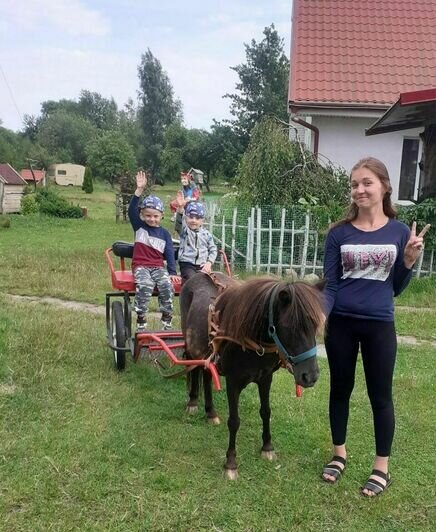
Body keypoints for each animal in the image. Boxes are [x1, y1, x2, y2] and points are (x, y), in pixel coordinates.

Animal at [179, 274, 326, 478]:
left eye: (315, 325)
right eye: (289, 326)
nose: (310, 376)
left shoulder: (265, 379)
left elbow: (266, 412)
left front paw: (267, 447)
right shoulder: (233, 382)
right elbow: (234, 421)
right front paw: (230, 463)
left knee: (207, 374)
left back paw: (211, 413)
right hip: (190, 344)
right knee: (193, 368)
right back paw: (193, 402)